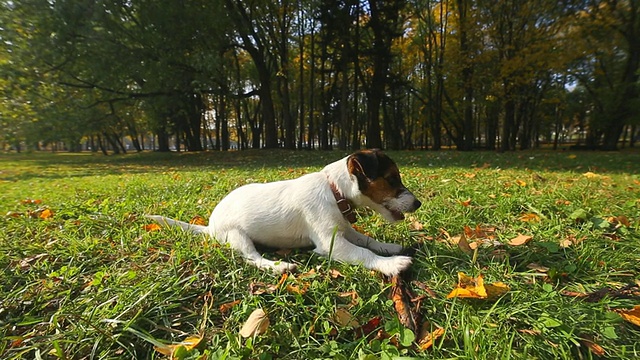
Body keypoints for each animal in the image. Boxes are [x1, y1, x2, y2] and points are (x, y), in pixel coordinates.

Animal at [148, 149, 422, 276]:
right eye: (392, 179)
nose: (418, 204)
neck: (334, 191)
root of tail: (210, 226)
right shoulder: (331, 243)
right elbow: (363, 253)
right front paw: (392, 264)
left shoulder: (344, 230)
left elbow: (367, 241)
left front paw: (390, 248)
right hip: (236, 236)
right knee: (252, 258)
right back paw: (280, 267)